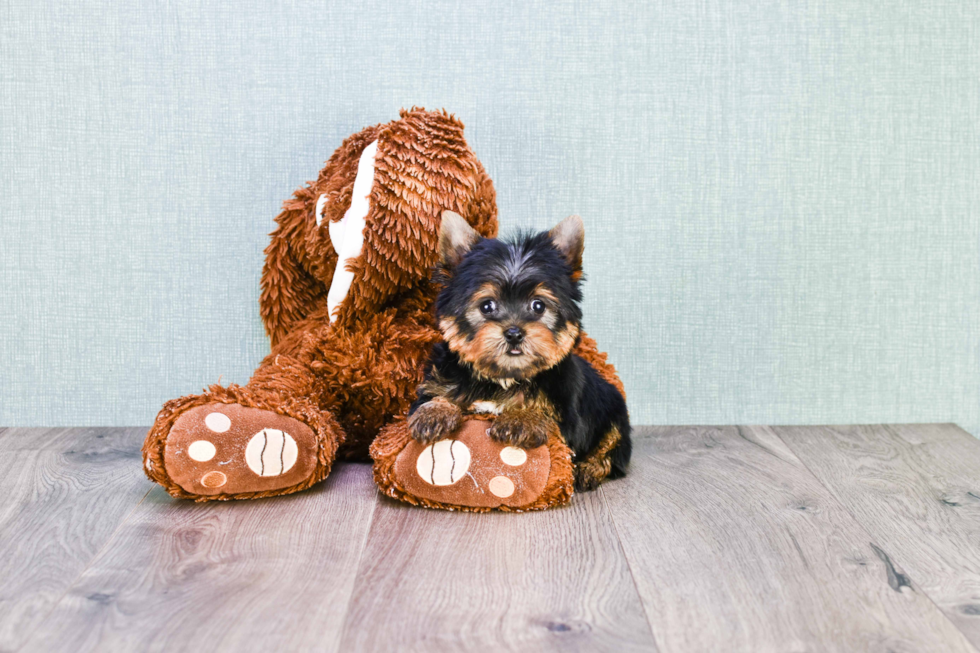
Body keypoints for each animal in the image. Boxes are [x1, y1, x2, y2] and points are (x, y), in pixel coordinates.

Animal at [408, 210, 632, 488]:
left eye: (538, 306)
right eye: (487, 306)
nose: (514, 333)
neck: (503, 378)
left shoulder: (567, 413)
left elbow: (550, 419)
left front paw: (522, 419)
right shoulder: (439, 379)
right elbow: (436, 397)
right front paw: (435, 412)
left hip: (613, 407)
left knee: (611, 447)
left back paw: (589, 468)